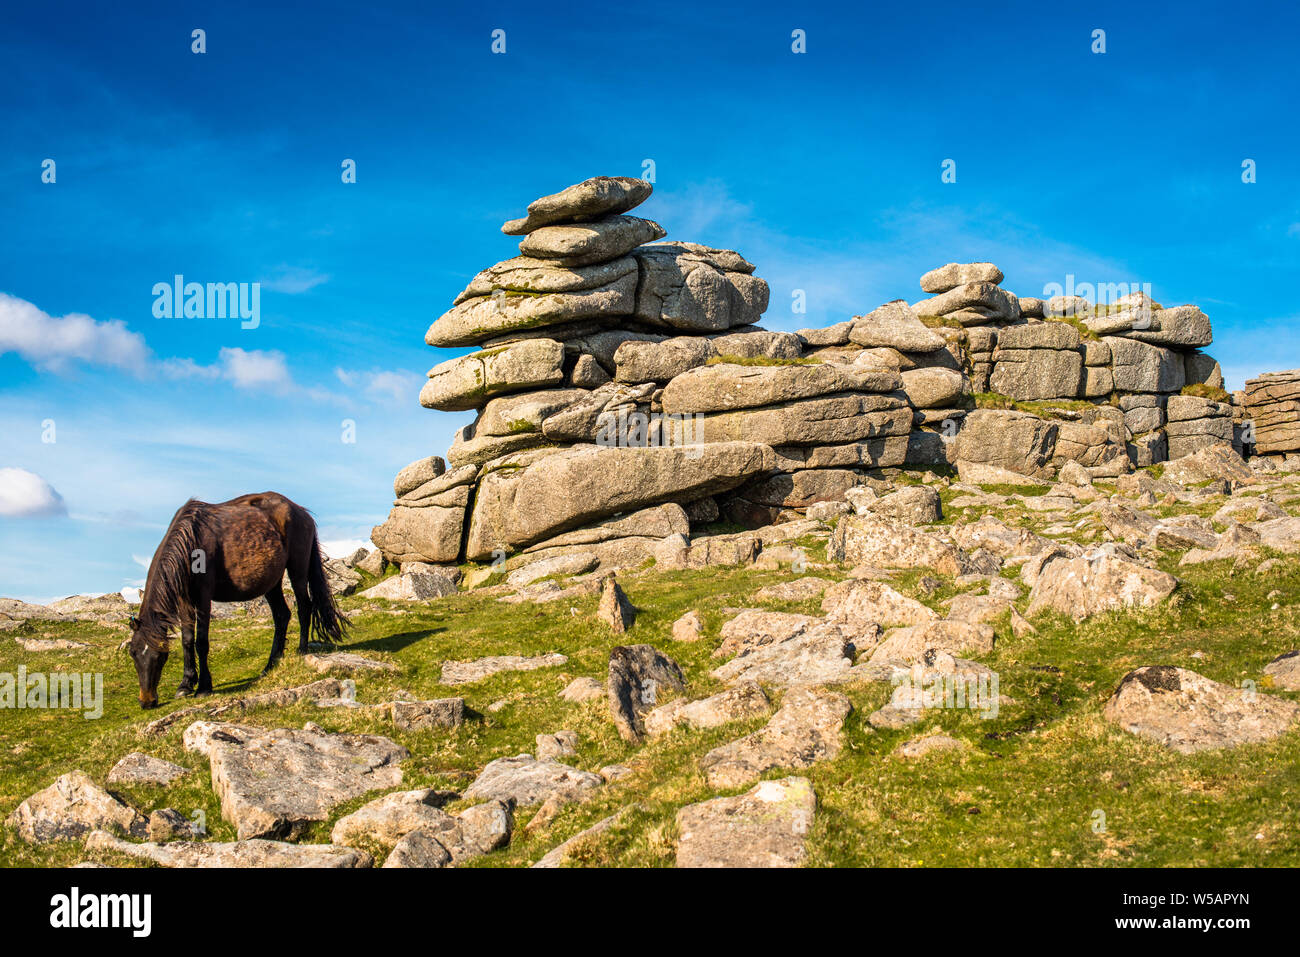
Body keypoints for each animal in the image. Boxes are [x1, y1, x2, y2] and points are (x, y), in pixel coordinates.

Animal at [128, 494, 351, 712]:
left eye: (160, 656)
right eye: (133, 653)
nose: (146, 702)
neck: (190, 540)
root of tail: (302, 513)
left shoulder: (203, 597)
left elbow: (201, 642)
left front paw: (204, 687)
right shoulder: (184, 600)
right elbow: (187, 640)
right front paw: (186, 684)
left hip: (298, 571)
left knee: (304, 608)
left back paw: (301, 650)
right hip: (271, 582)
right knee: (282, 615)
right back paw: (271, 664)